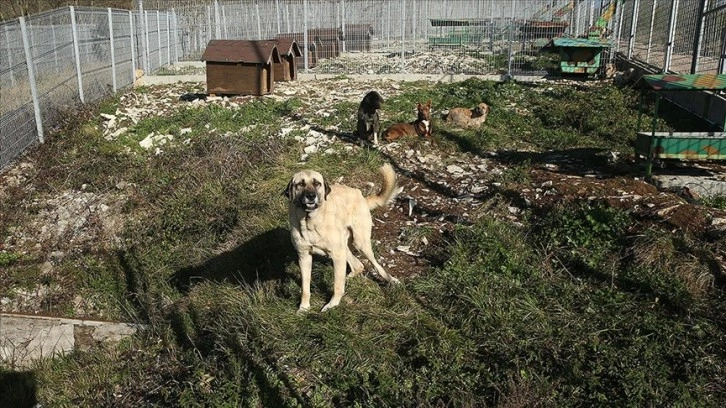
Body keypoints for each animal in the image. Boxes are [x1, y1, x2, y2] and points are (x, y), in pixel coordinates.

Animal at [284, 164, 400, 310]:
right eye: (300, 184)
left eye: (317, 183)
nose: (311, 196)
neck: (310, 221)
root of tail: (361, 196)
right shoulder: (304, 257)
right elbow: (305, 288)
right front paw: (303, 308)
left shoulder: (337, 255)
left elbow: (337, 286)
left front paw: (332, 305)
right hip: (344, 247)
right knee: (358, 265)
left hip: (360, 243)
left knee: (375, 264)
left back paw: (392, 280)